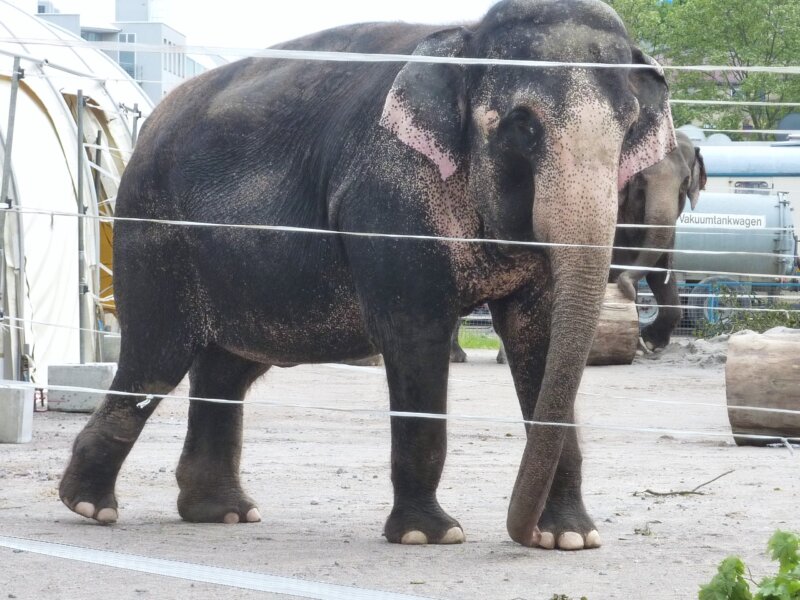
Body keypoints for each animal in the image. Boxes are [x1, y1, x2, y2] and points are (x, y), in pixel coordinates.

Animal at [61, 0, 676, 552]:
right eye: (523, 126)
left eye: (628, 128)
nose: (518, 534)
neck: (467, 35)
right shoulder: (388, 194)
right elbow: (414, 335)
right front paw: (431, 536)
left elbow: (541, 339)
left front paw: (573, 538)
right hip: (153, 236)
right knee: (156, 360)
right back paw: (90, 506)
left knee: (226, 370)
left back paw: (223, 514)